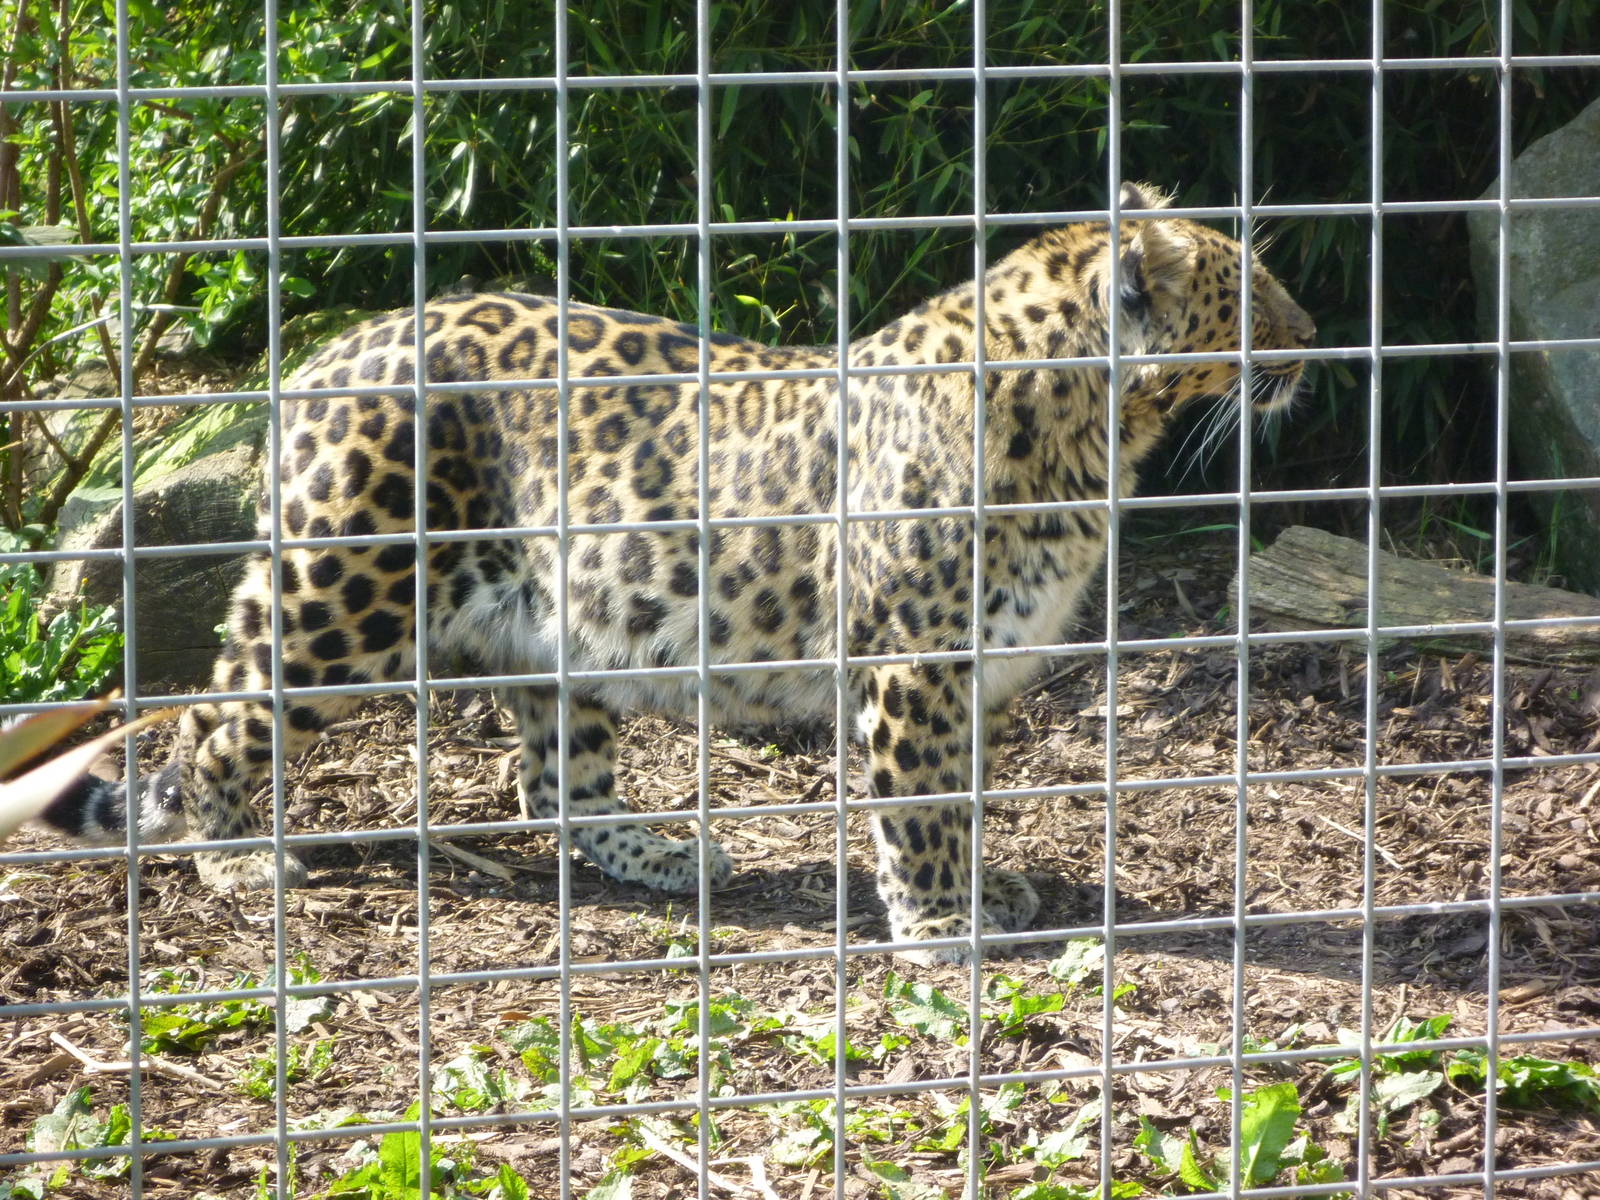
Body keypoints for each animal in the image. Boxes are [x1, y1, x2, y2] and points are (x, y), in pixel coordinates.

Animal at [41, 182, 1314, 964]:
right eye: (1246, 292)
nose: (1311, 341)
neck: (1098, 425)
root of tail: (317, 364)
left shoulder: (982, 670)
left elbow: (963, 796)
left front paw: (987, 886)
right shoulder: (912, 665)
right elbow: (916, 808)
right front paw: (939, 929)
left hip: (551, 633)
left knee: (554, 784)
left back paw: (662, 853)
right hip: (341, 605)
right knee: (216, 718)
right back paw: (234, 860)